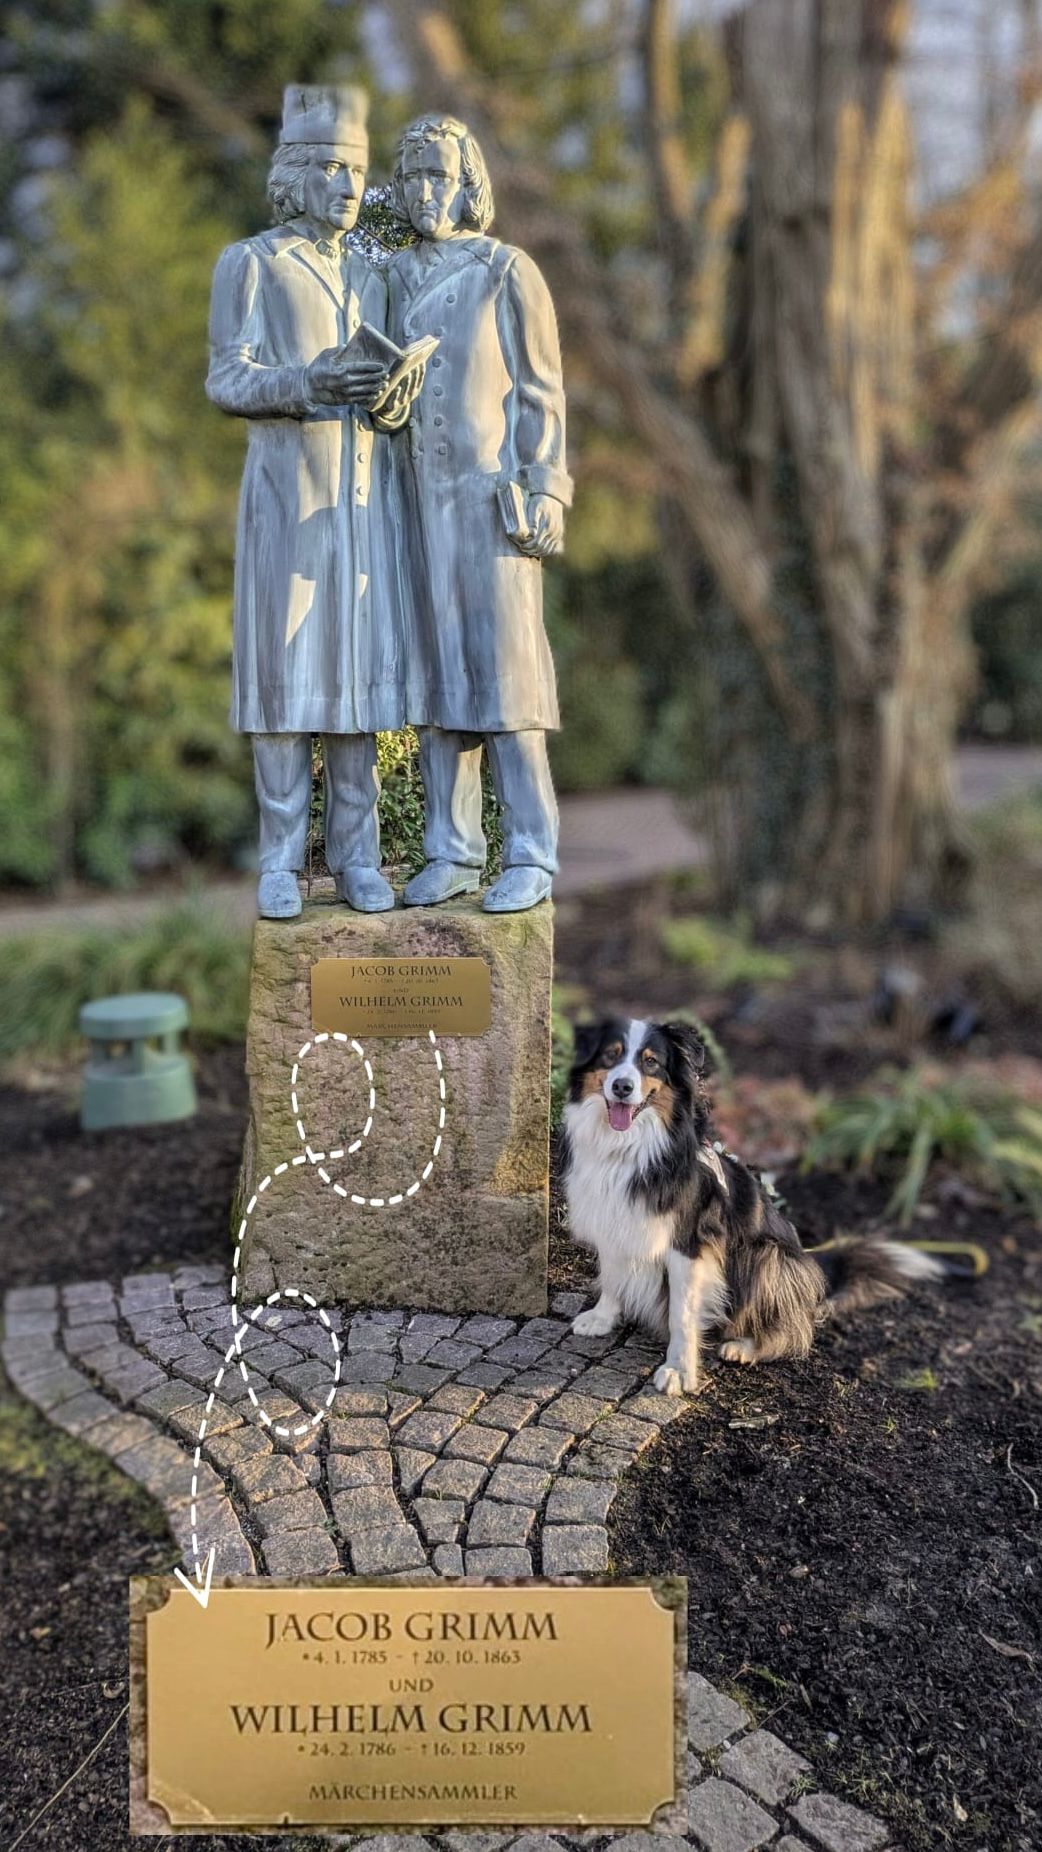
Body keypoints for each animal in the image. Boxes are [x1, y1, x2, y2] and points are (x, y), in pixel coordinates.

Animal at [562, 1022, 962, 1392]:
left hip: (768, 1256)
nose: (622, 1087)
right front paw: (602, 1317)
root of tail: (811, 1261)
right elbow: (612, 1274)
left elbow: (682, 1313)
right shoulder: (613, 1215)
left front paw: (679, 1370)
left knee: (797, 1332)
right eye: (610, 1055)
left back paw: (746, 1346)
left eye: (651, 1062)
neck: (628, 1147)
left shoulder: (689, 1243)